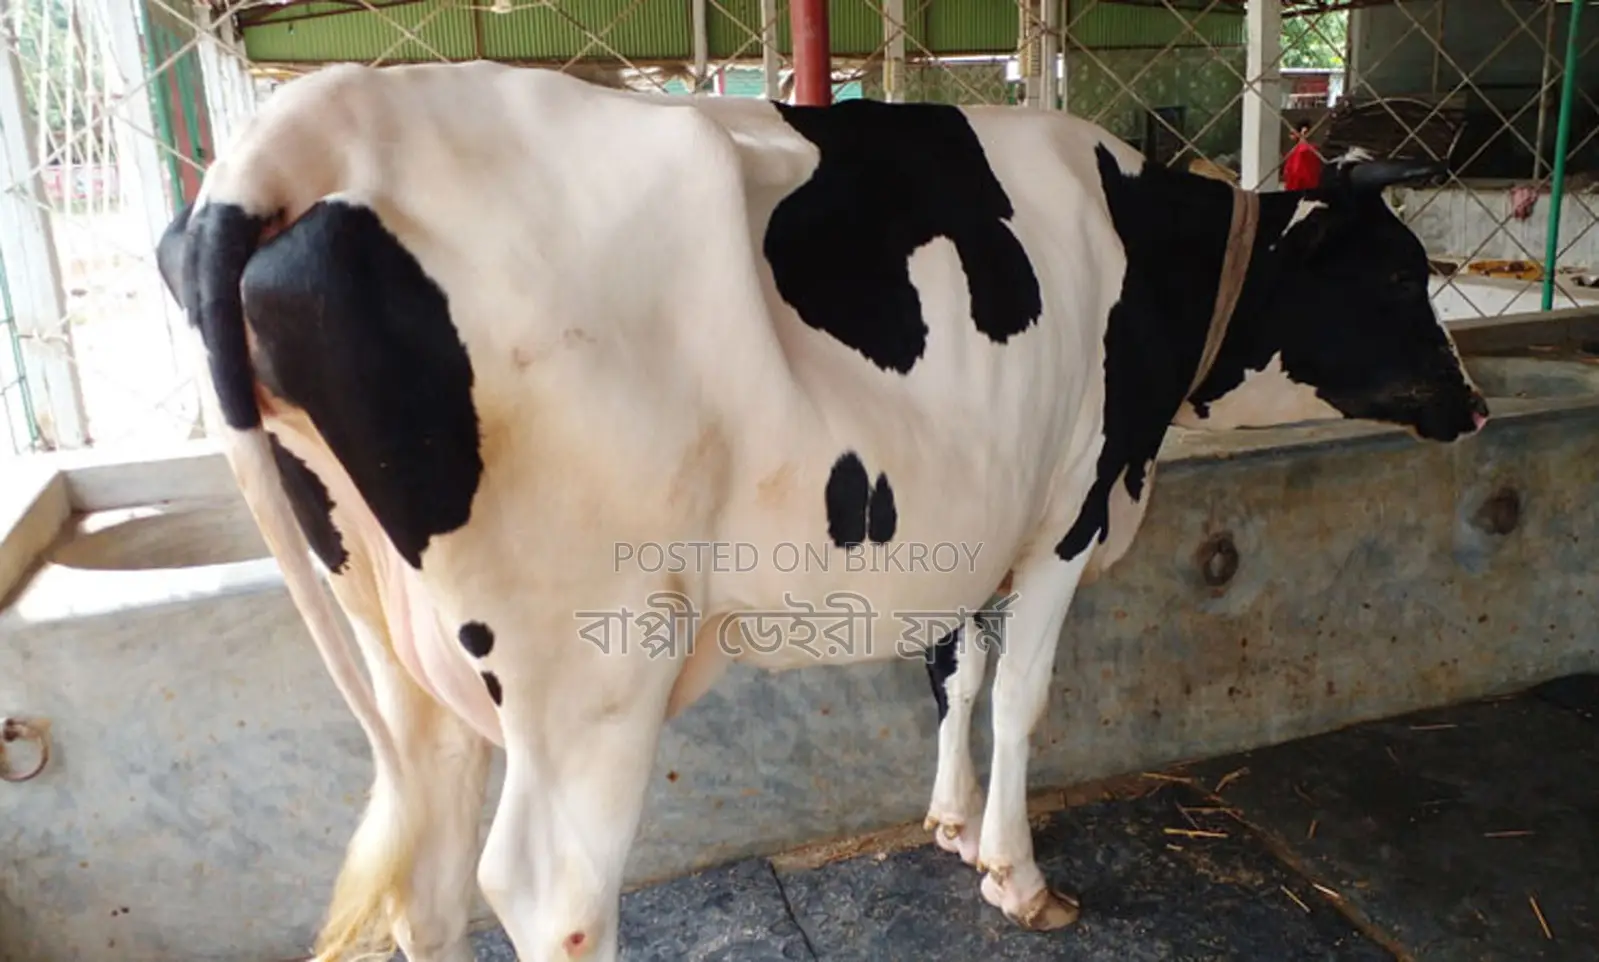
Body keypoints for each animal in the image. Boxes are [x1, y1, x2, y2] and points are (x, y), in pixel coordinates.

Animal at [154, 60, 1488, 962]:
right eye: (1397, 273)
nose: (1473, 400)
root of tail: (304, 126)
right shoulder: (1067, 502)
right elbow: (1023, 692)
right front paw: (1015, 872)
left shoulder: (976, 510)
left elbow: (955, 668)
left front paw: (949, 822)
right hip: (590, 651)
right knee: (546, 888)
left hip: (399, 645)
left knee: (427, 875)